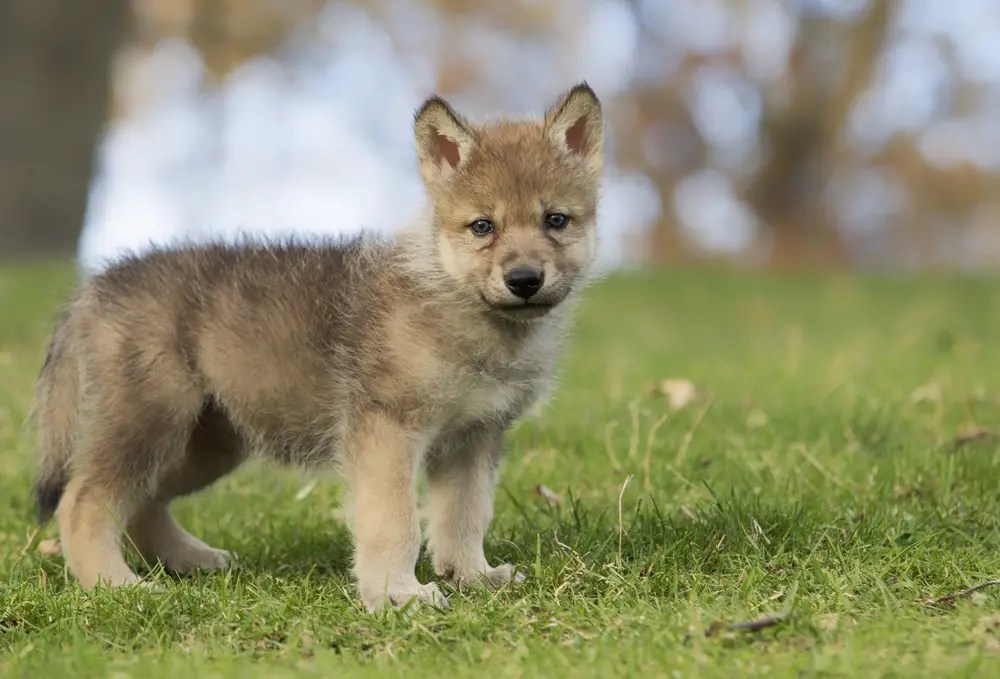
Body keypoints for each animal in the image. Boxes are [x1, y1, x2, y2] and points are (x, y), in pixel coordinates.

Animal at [32, 83, 604, 611]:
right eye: (483, 226)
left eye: (556, 220)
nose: (524, 280)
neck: (456, 303)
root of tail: (96, 288)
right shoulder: (387, 429)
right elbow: (395, 520)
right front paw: (397, 595)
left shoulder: (473, 437)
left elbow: (464, 516)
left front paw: (472, 577)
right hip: (151, 419)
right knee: (83, 500)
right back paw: (115, 585)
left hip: (207, 442)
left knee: (140, 504)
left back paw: (189, 561)